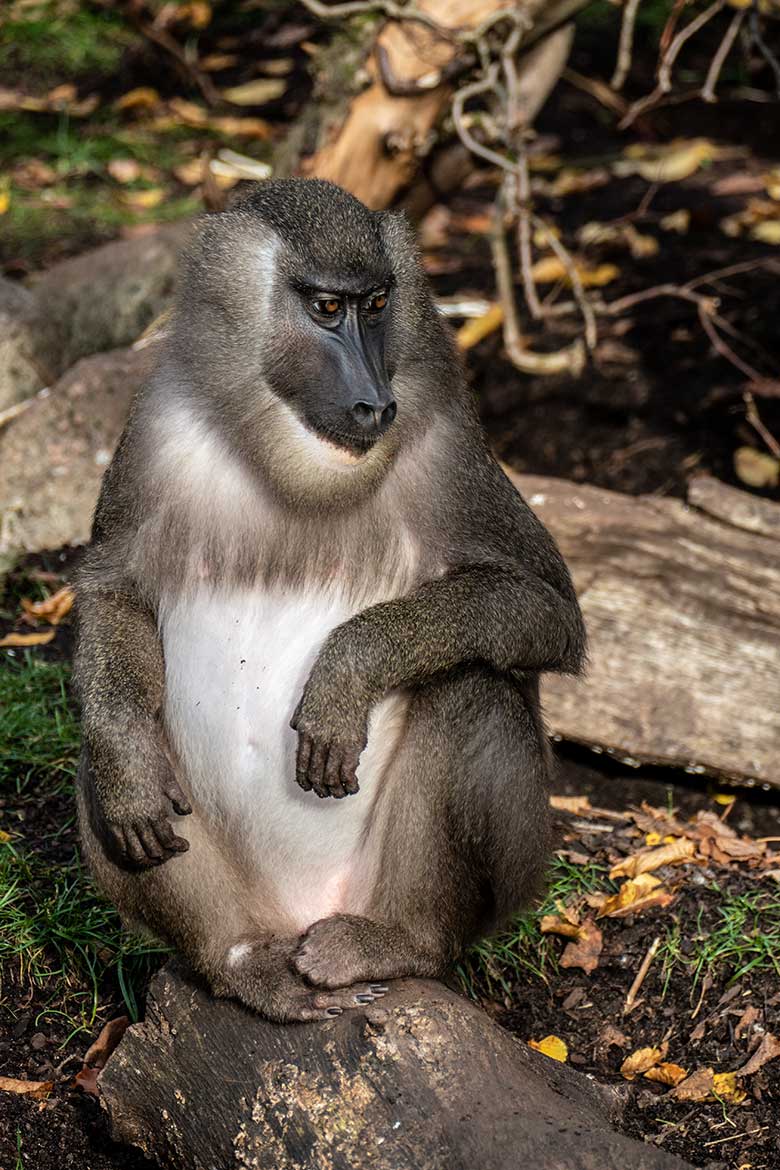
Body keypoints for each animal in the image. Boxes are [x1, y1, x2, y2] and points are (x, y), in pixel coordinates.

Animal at [74, 177, 584, 1020]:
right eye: (324, 308)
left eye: (377, 303)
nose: (373, 403)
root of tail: (300, 910)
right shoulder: (152, 433)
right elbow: (114, 595)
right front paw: (130, 777)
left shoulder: (449, 443)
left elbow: (547, 609)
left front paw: (347, 672)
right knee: (109, 745)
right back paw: (243, 963)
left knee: (473, 686)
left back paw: (397, 942)